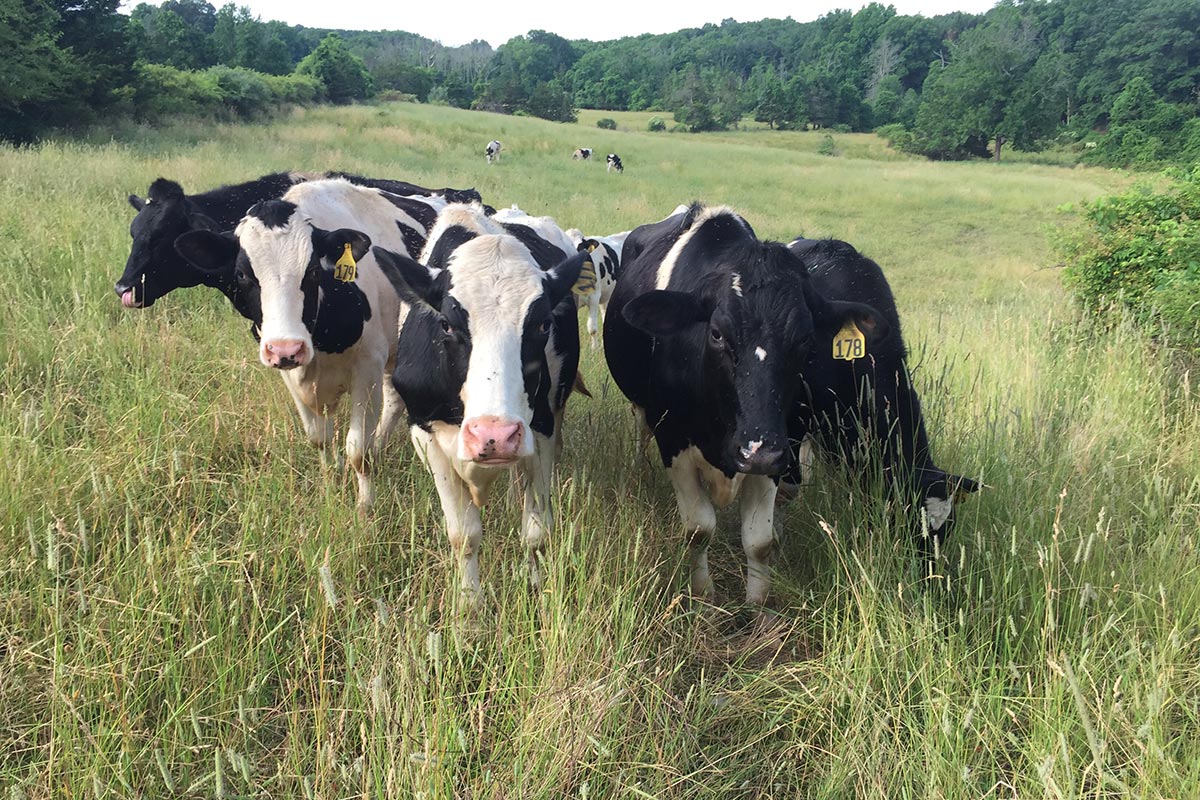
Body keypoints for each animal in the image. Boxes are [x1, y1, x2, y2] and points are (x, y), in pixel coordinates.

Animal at [171, 179, 446, 511]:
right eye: (242, 274)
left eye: (313, 272)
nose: (286, 349)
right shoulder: (291, 374)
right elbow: (319, 437)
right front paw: (331, 480)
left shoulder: (367, 368)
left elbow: (358, 450)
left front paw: (364, 506)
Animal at [372, 202, 589, 603]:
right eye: (446, 324)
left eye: (542, 325)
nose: (495, 436)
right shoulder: (425, 433)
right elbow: (464, 535)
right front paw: (469, 604)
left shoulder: (541, 431)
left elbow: (536, 531)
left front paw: (533, 586)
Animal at [603, 203, 889, 605]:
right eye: (717, 333)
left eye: (806, 340)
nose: (756, 450)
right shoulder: (674, 442)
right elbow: (699, 529)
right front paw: (703, 594)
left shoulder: (779, 451)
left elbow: (759, 541)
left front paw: (757, 604)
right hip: (645, 411)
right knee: (641, 431)